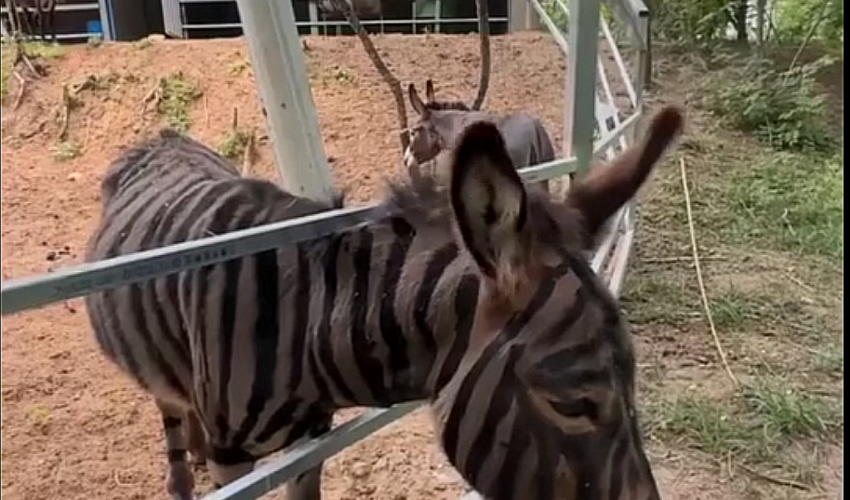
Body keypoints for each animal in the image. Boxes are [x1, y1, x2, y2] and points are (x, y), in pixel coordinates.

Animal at [84, 105, 684, 500]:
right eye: (572, 405)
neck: (303, 329)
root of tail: (160, 136)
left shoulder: (309, 444)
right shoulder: (237, 463)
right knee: (169, 409)